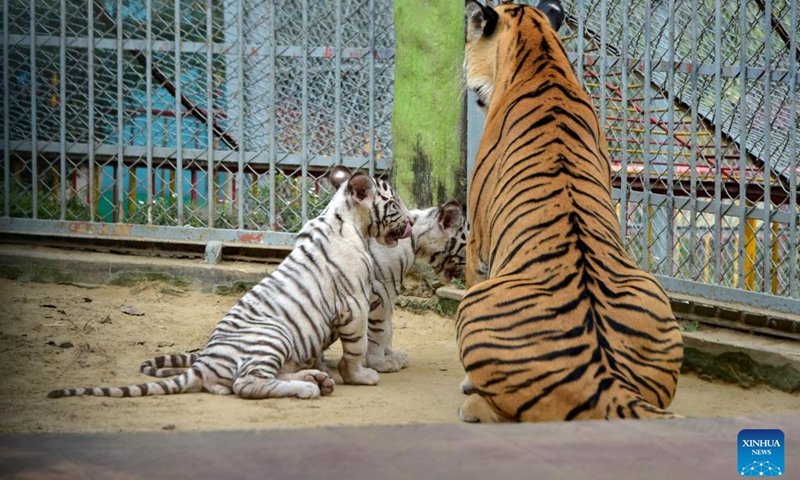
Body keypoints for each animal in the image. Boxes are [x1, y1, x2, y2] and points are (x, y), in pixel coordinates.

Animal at [456, 0, 680, 420]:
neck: (539, 51)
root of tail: (609, 382)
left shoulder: (477, 240)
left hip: (473, 306)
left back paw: (473, 403)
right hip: (654, 296)